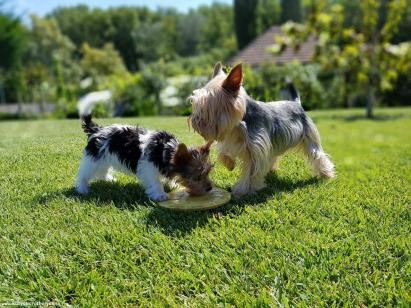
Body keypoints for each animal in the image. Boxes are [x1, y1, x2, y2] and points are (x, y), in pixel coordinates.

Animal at [75, 115, 214, 200]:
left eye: (207, 173)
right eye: (196, 177)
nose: (210, 188)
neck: (165, 151)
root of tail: (96, 130)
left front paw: (172, 183)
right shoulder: (148, 168)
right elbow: (155, 181)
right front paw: (160, 194)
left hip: (103, 158)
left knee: (103, 170)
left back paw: (108, 179)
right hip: (94, 159)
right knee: (84, 173)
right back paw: (82, 189)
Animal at [189, 62, 334, 197]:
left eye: (207, 108)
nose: (193, 121)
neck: (241, 121)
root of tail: (296, 103)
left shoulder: (256, 150)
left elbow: (251, 173)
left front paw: (242, 190)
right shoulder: (232, 137)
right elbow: (223, 153)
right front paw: (230, 164)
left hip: (309, 137)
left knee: (317, 154)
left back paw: (326, 174)